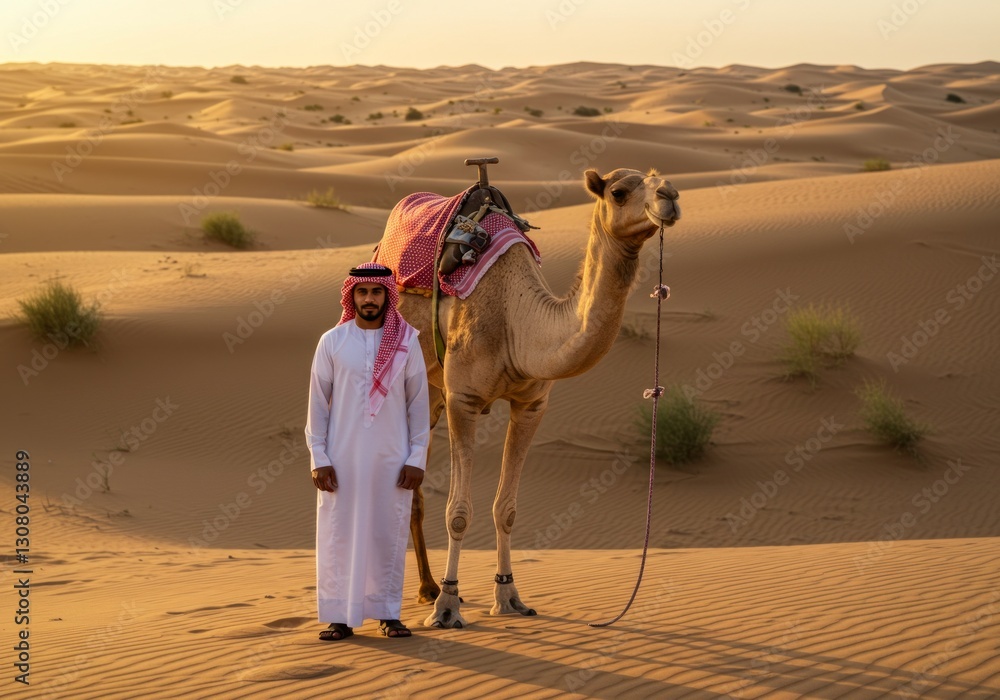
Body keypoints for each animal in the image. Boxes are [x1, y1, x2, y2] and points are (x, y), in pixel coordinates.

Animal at [396, 167, 681, 627]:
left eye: (662, 180)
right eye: (619, 192)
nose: (669, 197)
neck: (517, 319)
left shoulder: (530, 405)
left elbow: (506, 509)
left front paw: (509, 596)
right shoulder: (464, 399)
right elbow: (458, 512)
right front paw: (448, 607)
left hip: (432, 394)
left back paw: (425, 587)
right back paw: (419, 592)